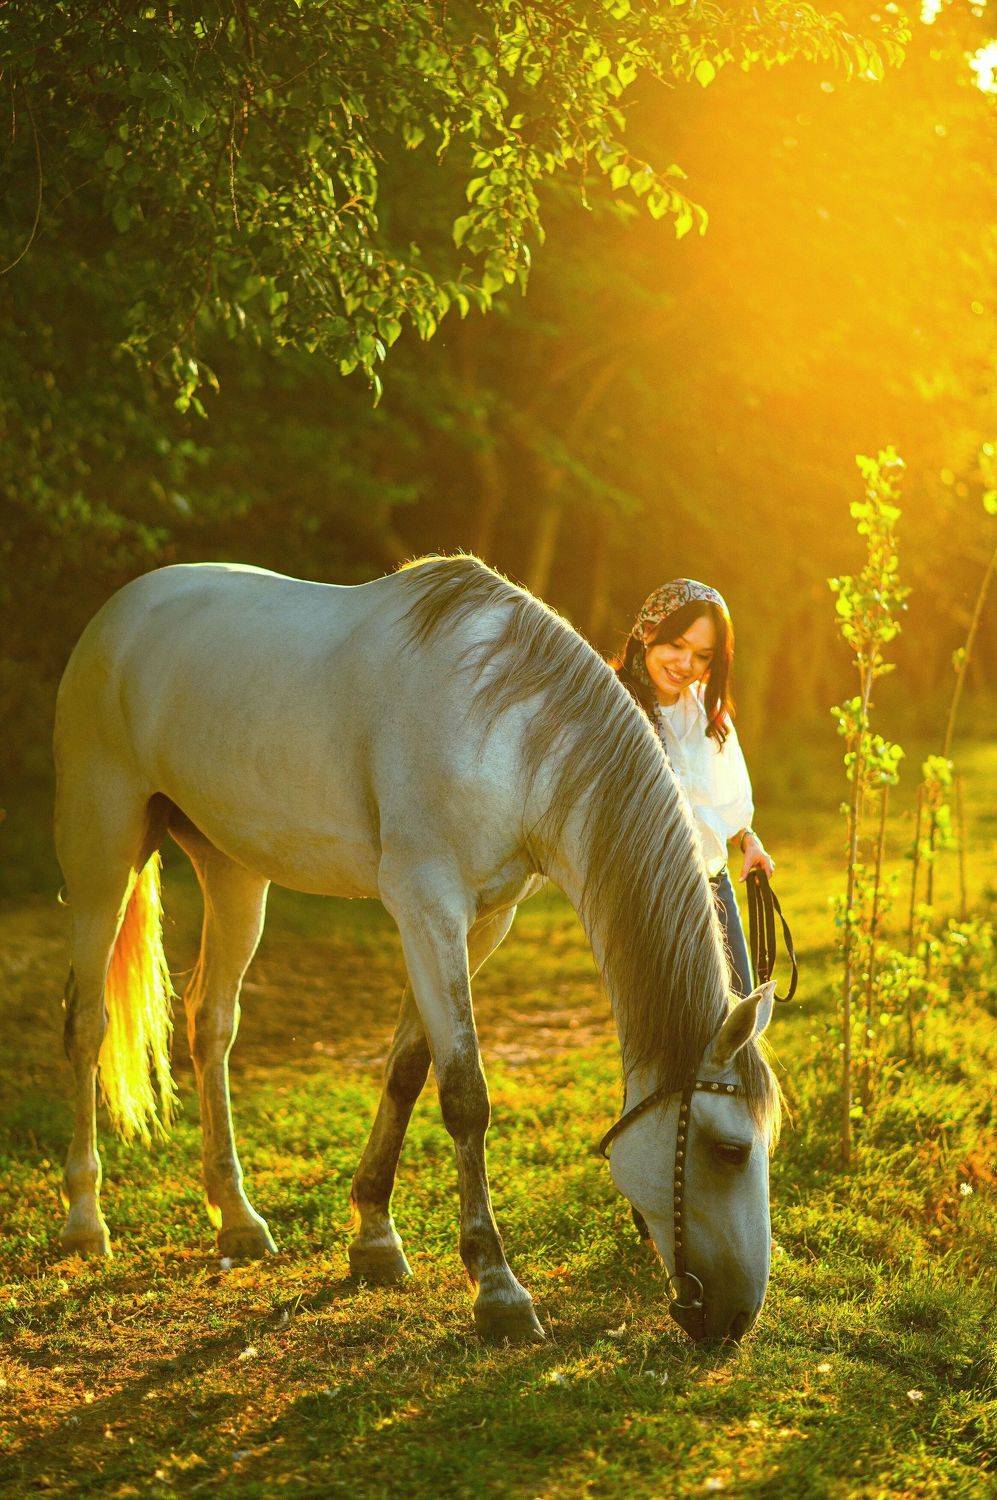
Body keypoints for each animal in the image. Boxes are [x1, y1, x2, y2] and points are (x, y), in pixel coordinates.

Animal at [52, 554, 781, 1345]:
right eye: (729, 1149)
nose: (737, 1316)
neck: (501, 728)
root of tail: (124, 610)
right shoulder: (427, 908)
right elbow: (464, 1095)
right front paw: (496, 1288)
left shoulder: (478, 923)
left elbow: (407, 1069)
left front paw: (373, 1237)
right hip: (101, 855)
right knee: (87, 1025)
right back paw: (86, 1222)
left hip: (232, 868)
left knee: (210, 1022)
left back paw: (238, 1221)